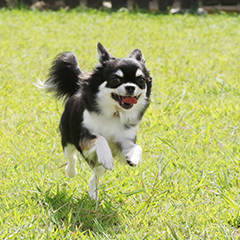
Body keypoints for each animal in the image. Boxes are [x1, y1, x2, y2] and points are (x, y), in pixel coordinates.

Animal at [42, 42, 152, 199]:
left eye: (141, 80)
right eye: (115, 79)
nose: (130, 87)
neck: (115, 113)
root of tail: (77, 89)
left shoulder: (122, 143)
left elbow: (137, 147)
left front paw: (134, 157)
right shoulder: (84, 138)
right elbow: (100, 138)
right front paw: (106, 157)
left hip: (98, 166)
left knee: (95, 176)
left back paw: (93, 195)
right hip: (68, 139)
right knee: (71, 157)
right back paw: (71, 172)